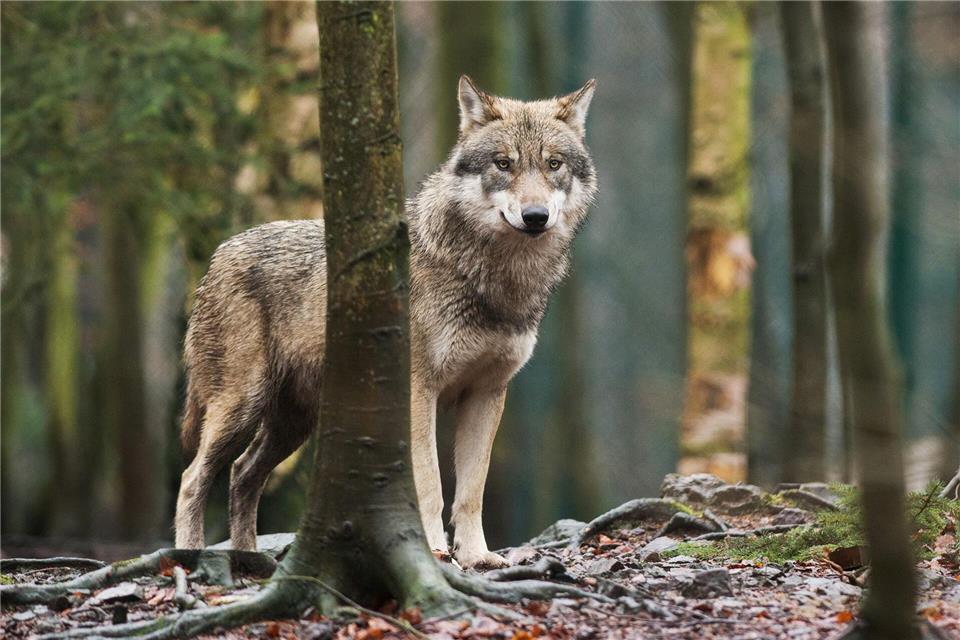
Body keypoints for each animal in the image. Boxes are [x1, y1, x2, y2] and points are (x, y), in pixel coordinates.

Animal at [174, 76, 597, 568]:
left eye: (553, 164)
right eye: (503, 164)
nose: (535, 216)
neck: (493, 279)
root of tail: (218, 255)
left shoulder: (487, 393)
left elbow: (471, 490)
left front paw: (477, 557)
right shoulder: (418, 391)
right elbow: (430, 485)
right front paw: (433, 551)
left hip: (292, 424)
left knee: (242, 475)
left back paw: (249, 560)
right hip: (242, 407)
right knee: (192, 478)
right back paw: (190, 557)